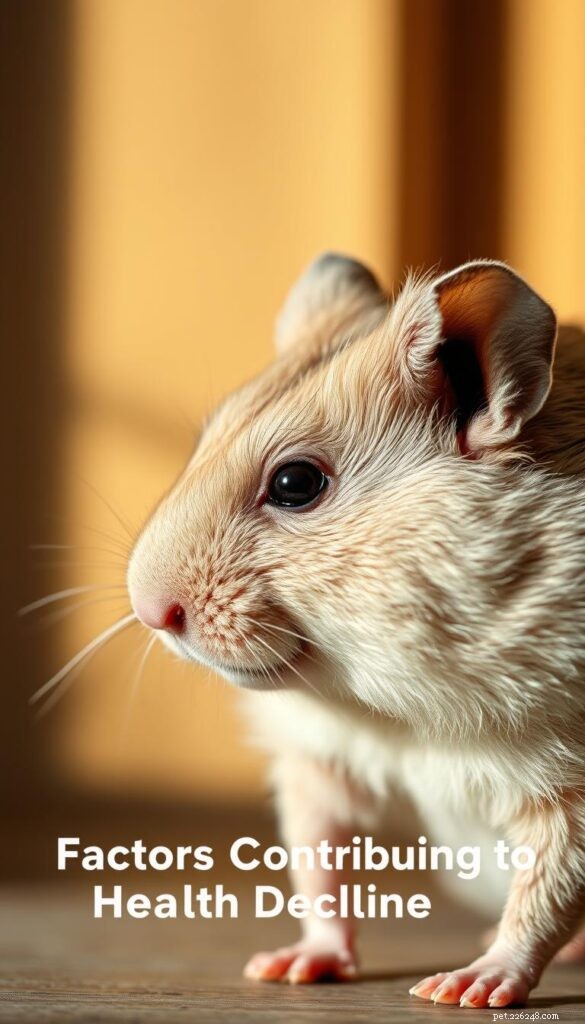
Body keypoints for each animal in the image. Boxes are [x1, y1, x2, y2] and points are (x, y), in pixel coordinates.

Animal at [127, 254, 585, 1009]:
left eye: (294, 484)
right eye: (203, 440)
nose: (146, 611)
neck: (400, 708)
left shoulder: (571, 792)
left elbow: (545, 891)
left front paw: (462, 990)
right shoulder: (318, 761)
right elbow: (320, 865)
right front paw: (287, 967)